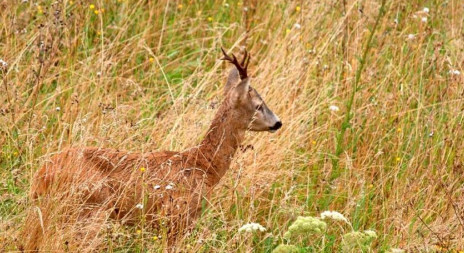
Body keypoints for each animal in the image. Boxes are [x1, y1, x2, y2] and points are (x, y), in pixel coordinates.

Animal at [24, 48, 282, 251]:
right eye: (258, 105)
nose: (278, 122)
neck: (203, 165)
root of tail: (40, 177)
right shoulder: (176, 217)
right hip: (87, 209)